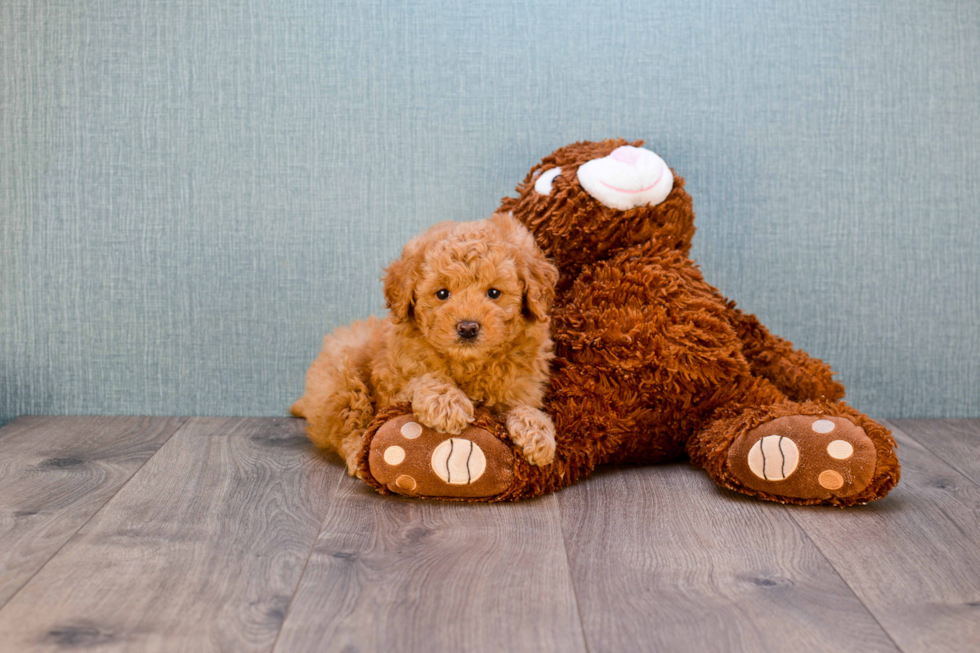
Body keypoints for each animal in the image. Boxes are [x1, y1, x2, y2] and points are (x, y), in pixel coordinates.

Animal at [290, 214, 560, 474]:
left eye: (494, 293)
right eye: (442, 293)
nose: (468, 327)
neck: (469, 363)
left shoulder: (521, 387)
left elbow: (524, 407)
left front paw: (539, 433)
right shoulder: (396, 384)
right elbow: (426, 378)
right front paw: (447, 403)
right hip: (342, 381)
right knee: (347, 428)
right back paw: (359, 455)